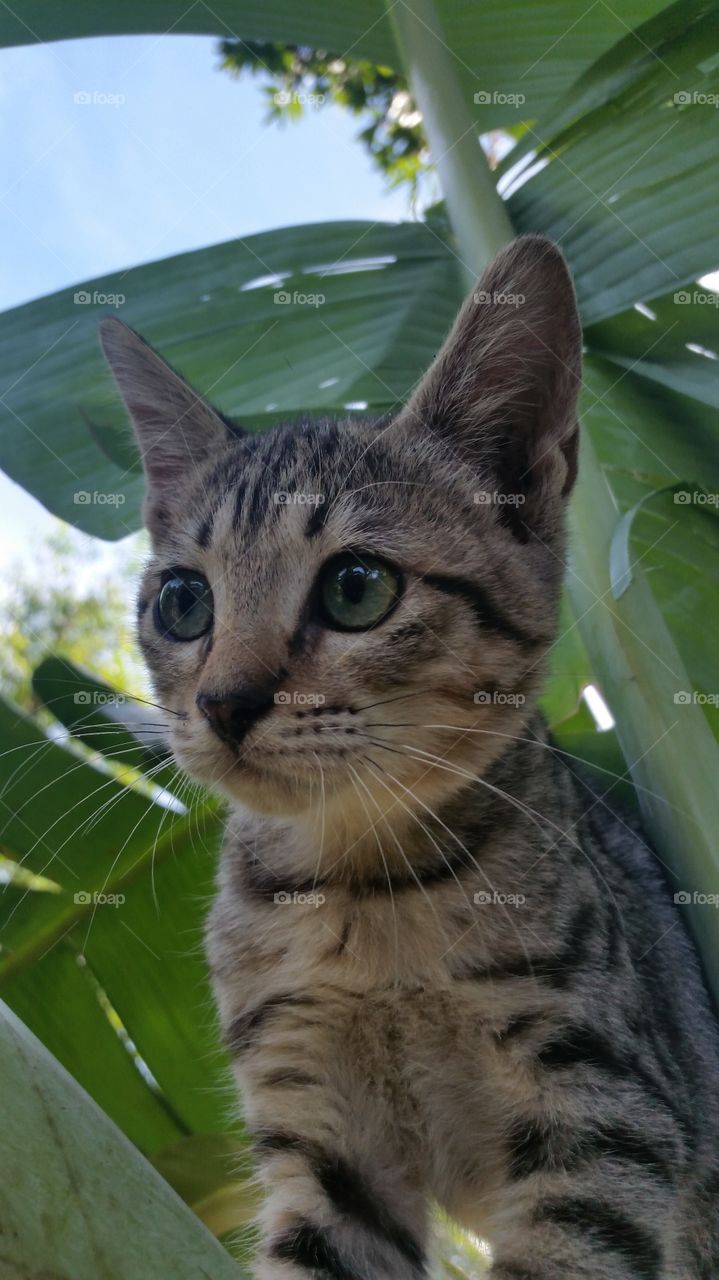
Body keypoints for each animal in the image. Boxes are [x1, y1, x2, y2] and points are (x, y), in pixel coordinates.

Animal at [99, 232, 716, 1280]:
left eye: (356, 588)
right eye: (182, 603)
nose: (222, 704)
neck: (360, 891)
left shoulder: (608, 1118)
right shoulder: (323, 1142)